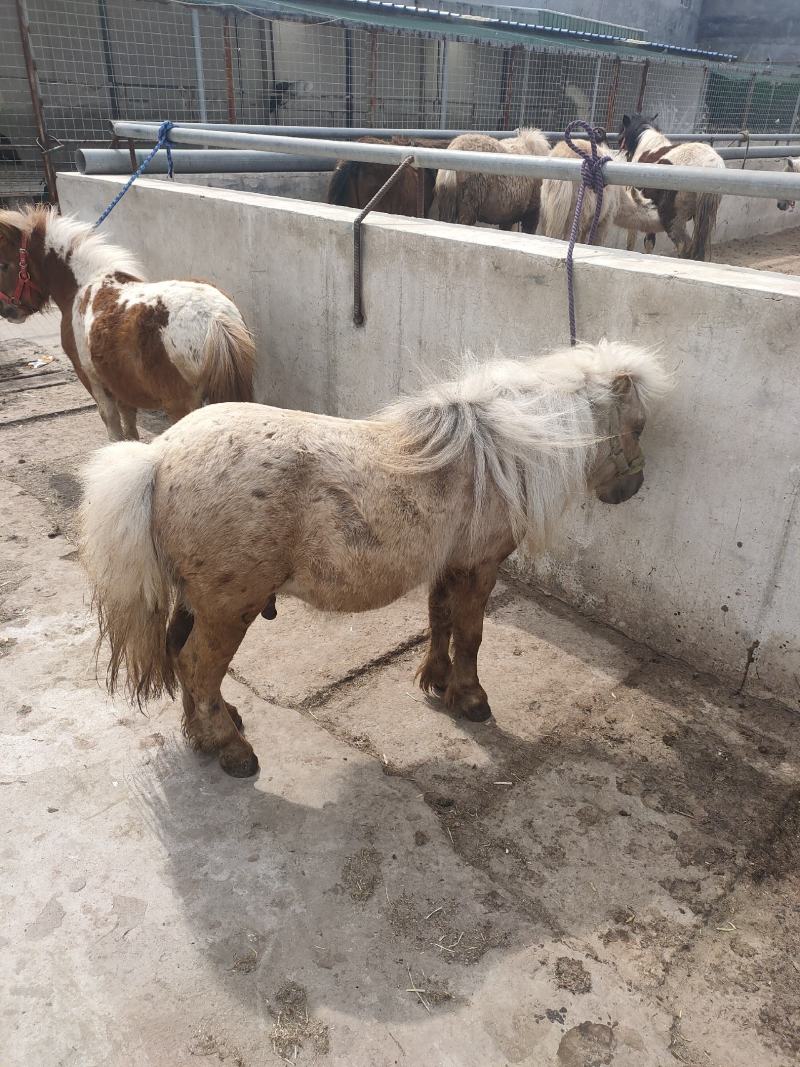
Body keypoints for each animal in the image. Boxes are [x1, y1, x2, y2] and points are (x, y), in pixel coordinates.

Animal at [0, 206, 255, 441]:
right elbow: (129, 421)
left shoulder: (92, 379)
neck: (81, 286)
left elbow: (111, 420)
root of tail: (214, 318)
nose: (7, 311)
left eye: (4, 265)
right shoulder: (120, 382)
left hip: (181, 405)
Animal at [80, 339, 669, 779]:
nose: (632, 488)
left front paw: (435, 681)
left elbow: (440, 619)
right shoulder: (480, 566)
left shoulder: (448, 565)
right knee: (197, 665)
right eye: (638, 425)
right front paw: (471, 699)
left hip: (196, 600)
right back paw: (230, 748)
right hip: (228, 610)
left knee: (179, 653)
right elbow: (471, 634)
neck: (492, 454)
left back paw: (209, 730)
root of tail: (157, 458)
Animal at [619, 113, 725, 261]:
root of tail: (710, 164)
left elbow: (634, 239)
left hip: (672, 219)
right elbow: (649, 242)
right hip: (704, 220)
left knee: (684, 245)